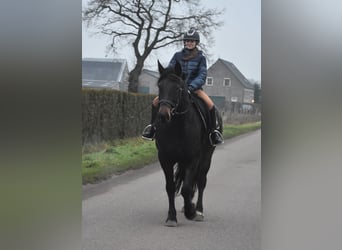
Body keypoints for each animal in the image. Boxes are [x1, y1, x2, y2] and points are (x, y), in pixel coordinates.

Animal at [154, 60, 223, 227]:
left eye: (177, 88)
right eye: (160, 86)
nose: (163, 116)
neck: (177, 126)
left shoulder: (193, 159)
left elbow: (186, 188)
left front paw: (190, 211)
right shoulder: (165, 159)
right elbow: (170, 187)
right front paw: (171, 217)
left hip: (206, 157)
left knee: (201, 181)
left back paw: (198, 211)